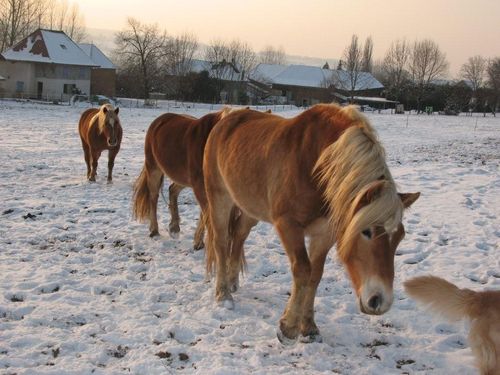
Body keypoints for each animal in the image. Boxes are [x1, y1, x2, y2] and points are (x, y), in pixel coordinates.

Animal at [201, 103, 420, 344]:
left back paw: (232, 282)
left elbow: (315, 275)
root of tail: (227, 117)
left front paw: (308, 326)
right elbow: (303, 270)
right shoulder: (288, 225)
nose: (380, 301)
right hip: (220, 199)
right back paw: (223, 295)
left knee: (239, 235)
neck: (316, 164)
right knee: (221, 242)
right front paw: (288, 327)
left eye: (399, 237)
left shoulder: (325, 233)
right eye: (366, 232)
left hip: (251, 207)